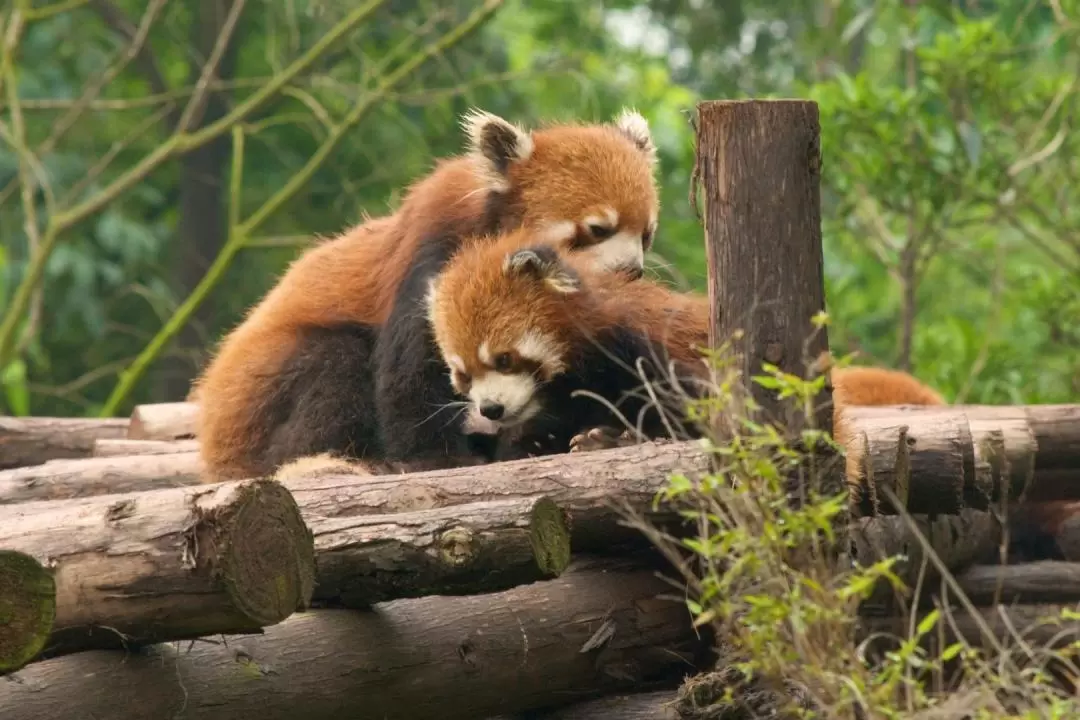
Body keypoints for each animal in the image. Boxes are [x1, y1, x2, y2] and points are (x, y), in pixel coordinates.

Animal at [194, 108, 660, 479]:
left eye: (646, 234)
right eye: (597, 229)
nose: (630, 271)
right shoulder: (433, 252)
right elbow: (412, 371)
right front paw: (437, 458)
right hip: (259, 403)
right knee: (334, 362)